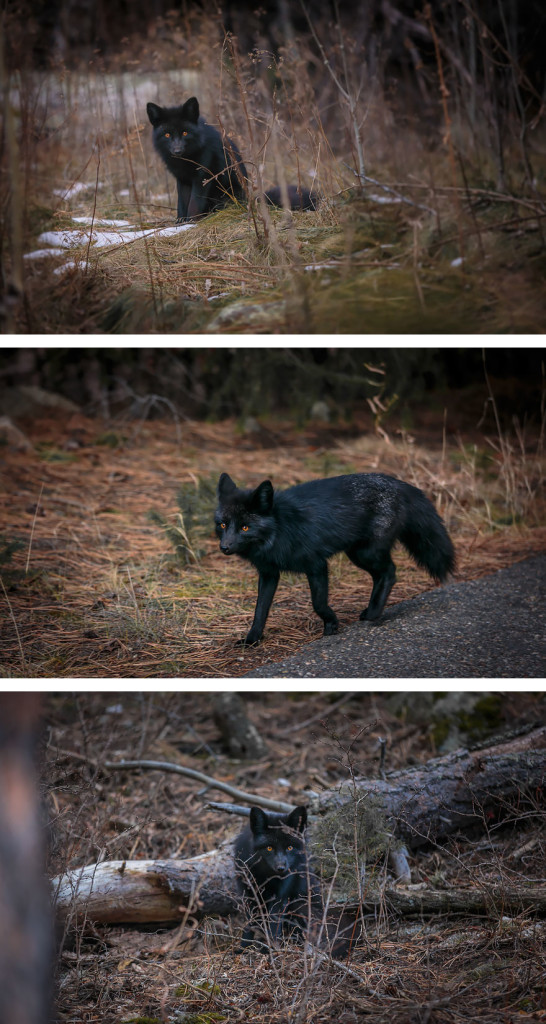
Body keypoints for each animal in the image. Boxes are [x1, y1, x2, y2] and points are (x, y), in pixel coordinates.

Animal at [145, 94, 315, 222]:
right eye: (167, 135)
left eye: (185, 133)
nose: (177, 150)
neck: (185, 160)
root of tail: (249, 200)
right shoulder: (182, 180)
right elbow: (182, 204)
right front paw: (180, 223)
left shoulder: (202, 178)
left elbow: (194, 203)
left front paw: (191, 222)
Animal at [215, 468, 452, 643]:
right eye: (223, 525)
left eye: (245, 527)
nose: (224, 547)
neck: (280, 530)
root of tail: (397, 483)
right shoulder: (268, 574)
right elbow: (260, 610)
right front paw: (252, 639)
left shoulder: (317, 565)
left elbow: (318, 603)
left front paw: (331, 624)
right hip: (357, 554)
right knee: (382, 575)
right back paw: (371, 610)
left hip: (364, 554)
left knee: (390, 572)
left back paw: (374, 613)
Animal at [233, 806, 319, 950]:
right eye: (269, 848)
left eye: (289, 847)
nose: (281, 868)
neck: (266, 877)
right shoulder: (249, 894)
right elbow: (250, 924)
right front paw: (244, 948)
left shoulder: (280, 897)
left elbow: (274, 926)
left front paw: (271, 950)